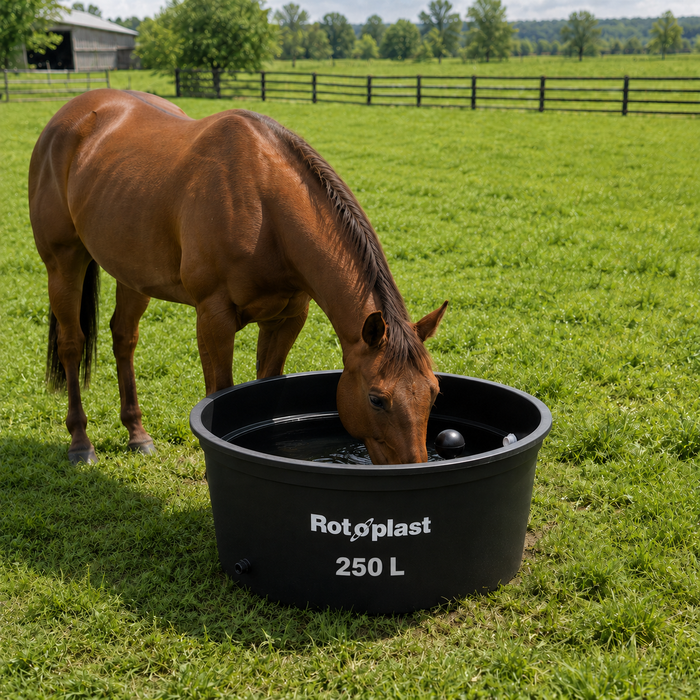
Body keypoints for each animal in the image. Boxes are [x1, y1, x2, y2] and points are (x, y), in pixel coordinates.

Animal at [28, 89, 448, 466]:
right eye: (377, 399)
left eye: (434, 392)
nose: (413, 467)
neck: (265, 206)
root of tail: (70, 116)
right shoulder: (213, 318)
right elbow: (221, 392)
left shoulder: (287, 318)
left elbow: (265, 384)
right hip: (63, 263)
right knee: (71, 344)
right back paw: (80, 443)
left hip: (132, 273)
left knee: (124, 338)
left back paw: (137, 434)